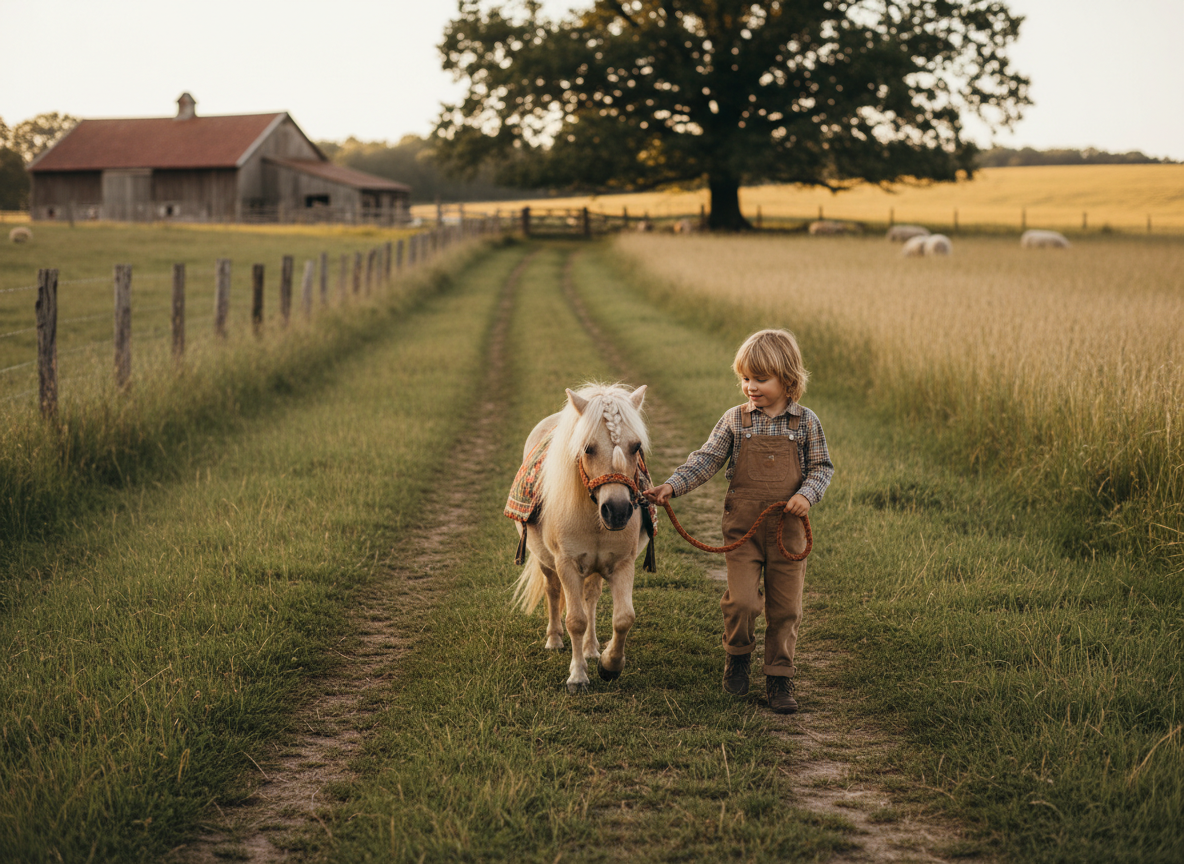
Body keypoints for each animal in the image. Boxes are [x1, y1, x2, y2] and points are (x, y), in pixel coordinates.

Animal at [510, 383, 652, 694]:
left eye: (636, 447)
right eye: (588, 448)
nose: (618, 511)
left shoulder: (622, 564)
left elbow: (623, 618)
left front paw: (610, 664)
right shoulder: (567, 565)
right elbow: (575, 620)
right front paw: (577, 677)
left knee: (591, 598)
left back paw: (591, 648)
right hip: (546, 562)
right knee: (552, 592)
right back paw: (554, 639)